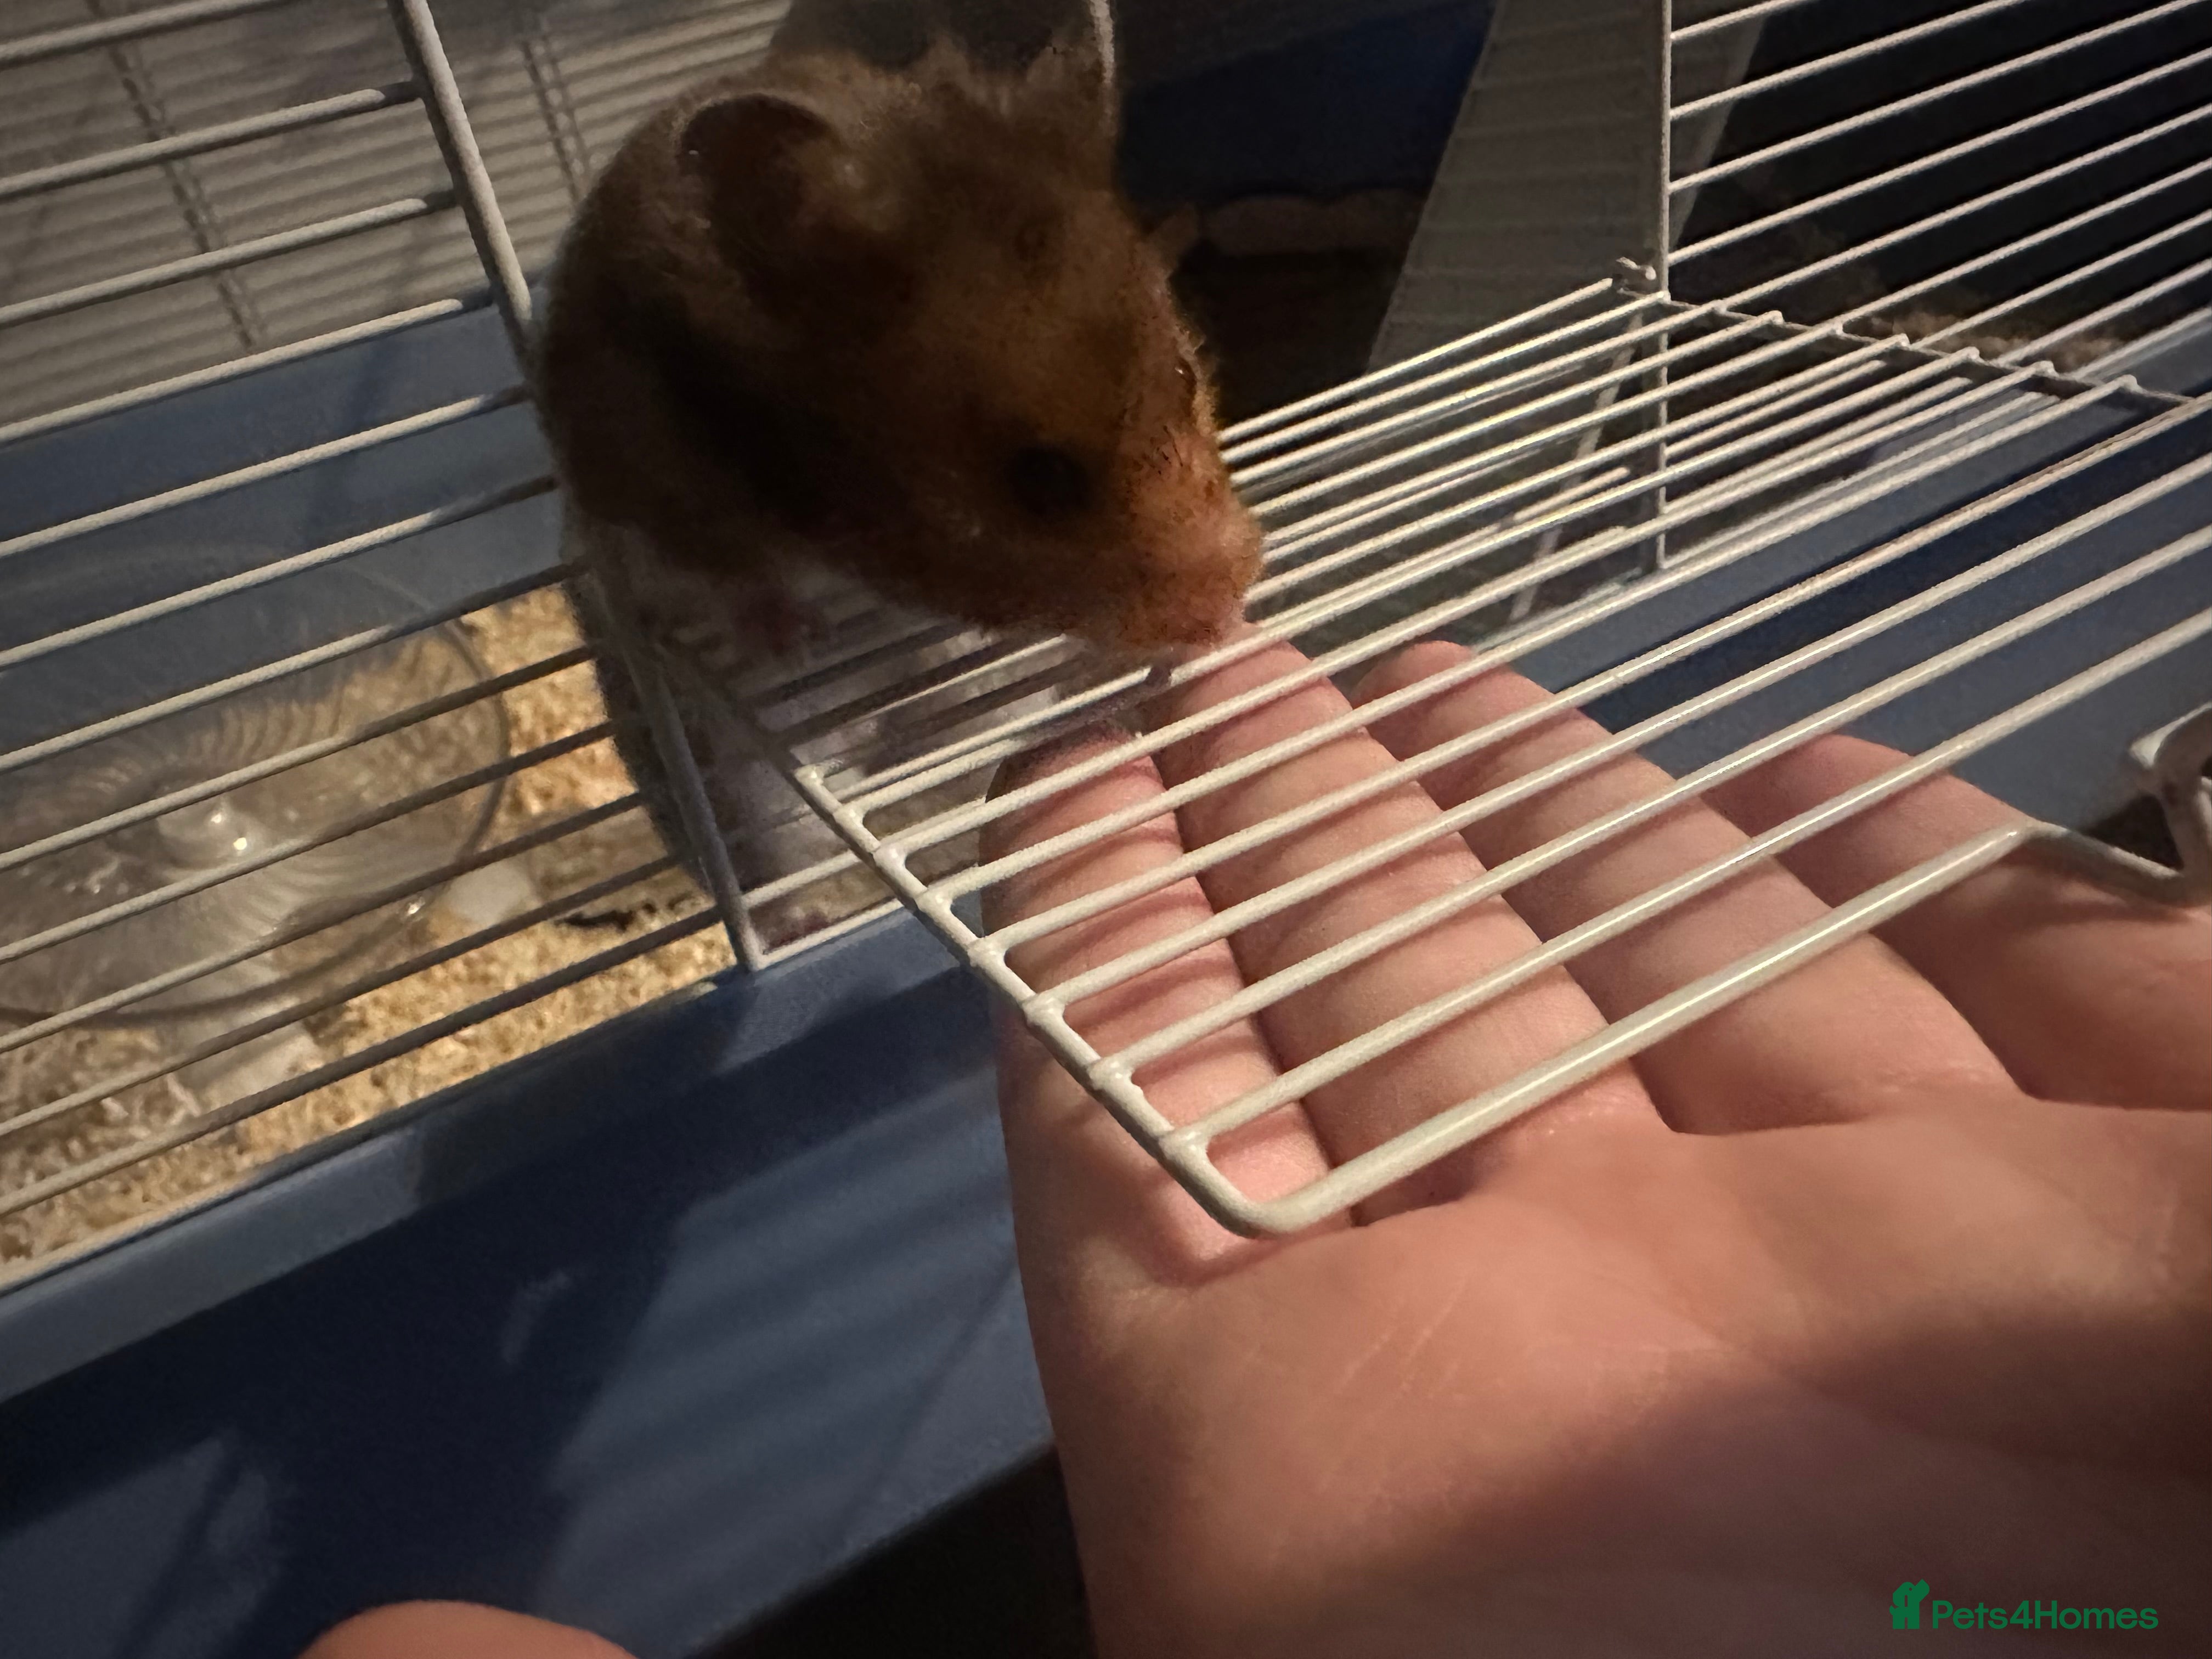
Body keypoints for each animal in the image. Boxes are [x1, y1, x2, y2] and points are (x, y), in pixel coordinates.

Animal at [533, 30, 1262, 936]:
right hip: (761, 803)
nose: (1228, 607)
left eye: (1184, 376)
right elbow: (724, 581)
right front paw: (792, 638)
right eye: (1041, 479)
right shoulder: (636, 487)